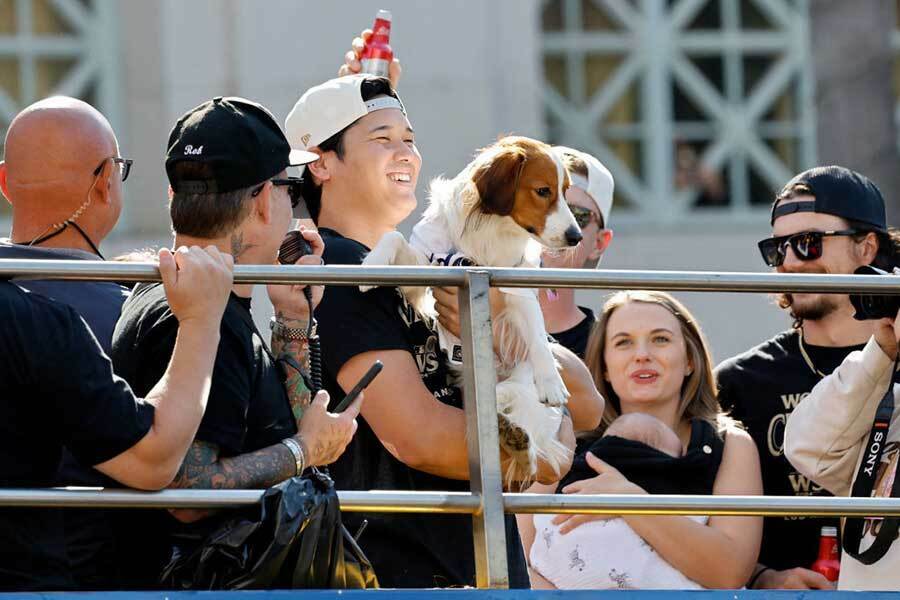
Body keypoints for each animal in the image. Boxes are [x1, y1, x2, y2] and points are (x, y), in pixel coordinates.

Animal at [362, 135, 580, 482]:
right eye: (543, 190)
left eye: (566, 191)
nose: (576, 236)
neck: (491, 227)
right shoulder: (424, 279)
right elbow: (393, 236)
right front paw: (373, 262)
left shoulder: (517, 288)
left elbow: (537, 337)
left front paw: (551, 382)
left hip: (520, 375)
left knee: (517, 406)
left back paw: (514, 431)